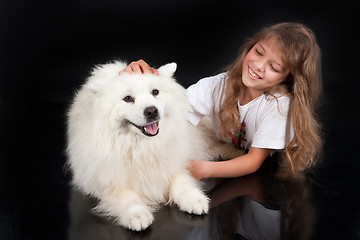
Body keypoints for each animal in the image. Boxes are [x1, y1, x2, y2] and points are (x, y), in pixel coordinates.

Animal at [66, 61, 212, 231]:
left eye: (155, 92)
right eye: (128, 98)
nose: (152, 111)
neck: (142, 147)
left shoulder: (174, 163)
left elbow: (181, 180)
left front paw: (194, 199)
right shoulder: (107, 181)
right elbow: (127, 197)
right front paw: (137, 215)